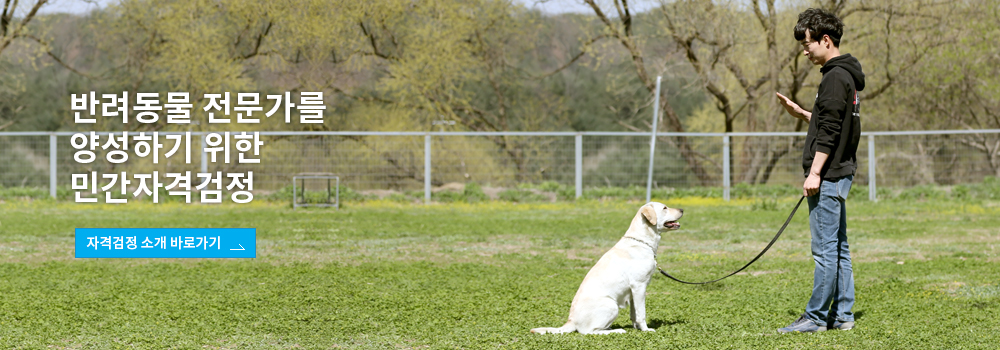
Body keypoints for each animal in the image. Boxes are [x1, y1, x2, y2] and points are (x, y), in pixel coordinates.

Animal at [532, 204, 680, 334]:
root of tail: (571, 321)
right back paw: (617, 330)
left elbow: (634, 314)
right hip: (611, 305)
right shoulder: (639, 286)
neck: (642, 241)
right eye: (665, 208)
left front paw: (636, 328)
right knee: (590, 332)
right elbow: (641, 313)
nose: (682, 209)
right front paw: (646, 330)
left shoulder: (633, 291)